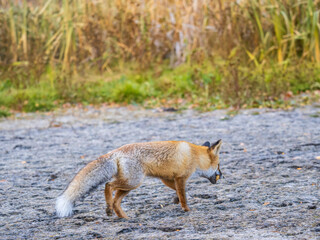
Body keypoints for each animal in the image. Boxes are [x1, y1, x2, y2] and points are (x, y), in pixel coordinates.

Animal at [56, 140, 222, 218]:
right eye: (219, 165)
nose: (223, 175)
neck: (194, 155)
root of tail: (116, 151)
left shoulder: (167, 178)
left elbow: (178, 192)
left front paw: (175, 200)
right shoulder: (181, 178)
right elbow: (184, 197)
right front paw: (187, 209)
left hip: (129, 185)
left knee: (116, 202)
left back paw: (124, 217)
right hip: (133, 182)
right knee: (108, 185)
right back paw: (109, 208)